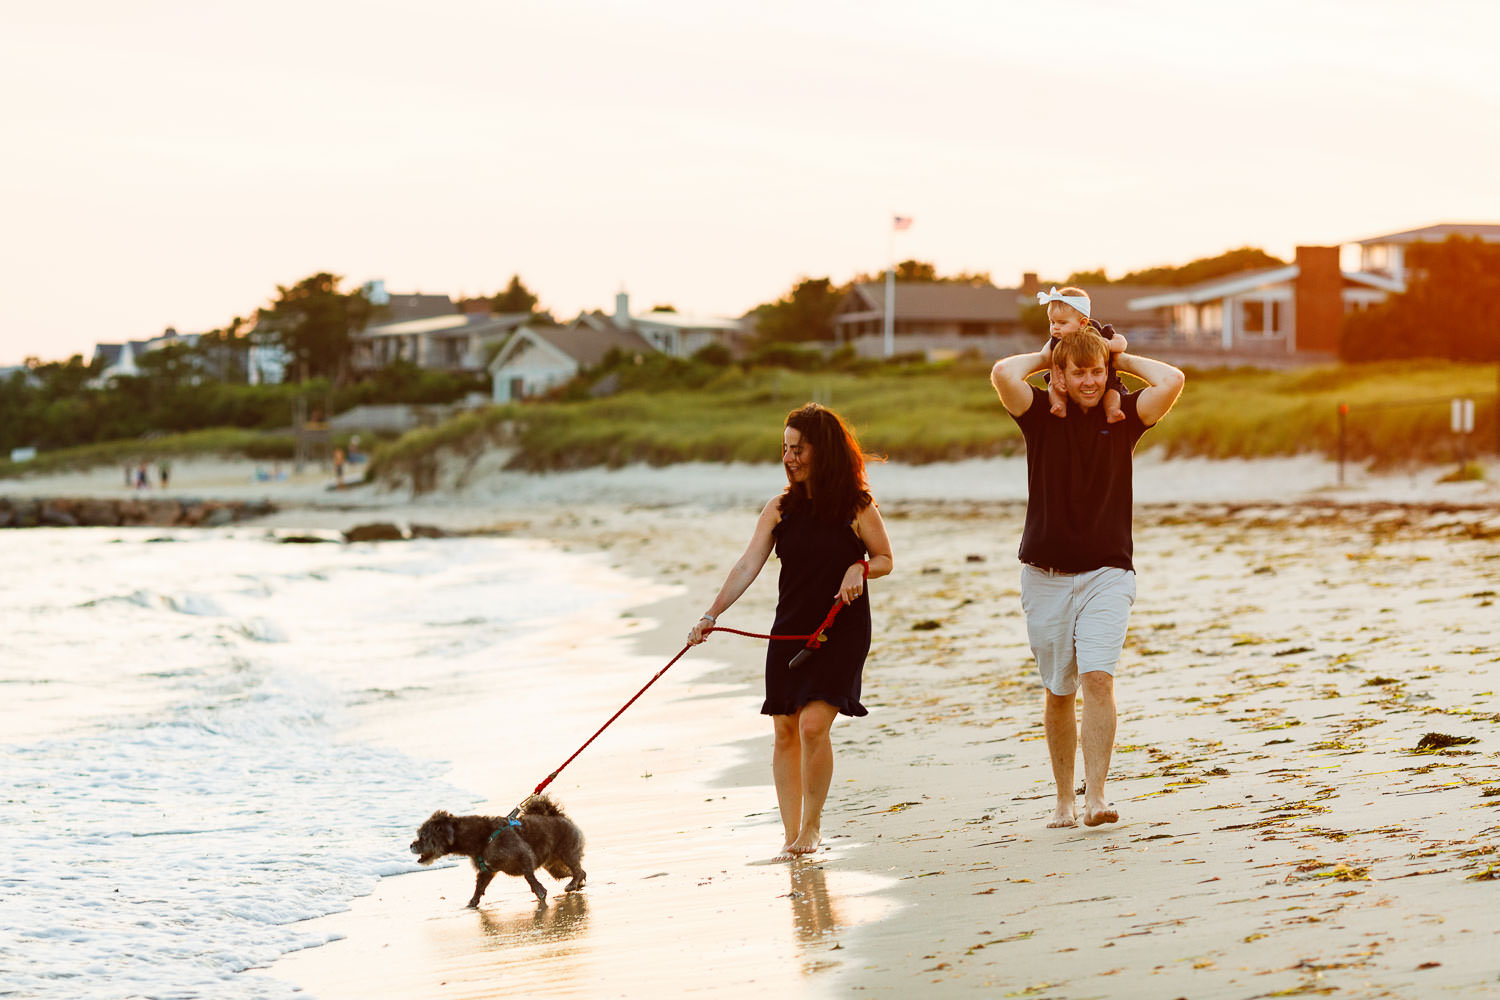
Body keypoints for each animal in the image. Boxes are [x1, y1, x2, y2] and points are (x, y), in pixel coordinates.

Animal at [411, 797, 585, 905]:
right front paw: (472, 903)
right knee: (580, 872)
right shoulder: (486, 870)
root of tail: (559, 815)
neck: (480, 838)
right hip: (554, 867)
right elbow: (479, 887)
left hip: (566, 853)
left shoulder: (523, 854)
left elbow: (529, 875)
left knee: (576, 869)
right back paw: (578, 884)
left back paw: (573, 884)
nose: (411, 845)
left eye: (422, 836)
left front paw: (539, 891)